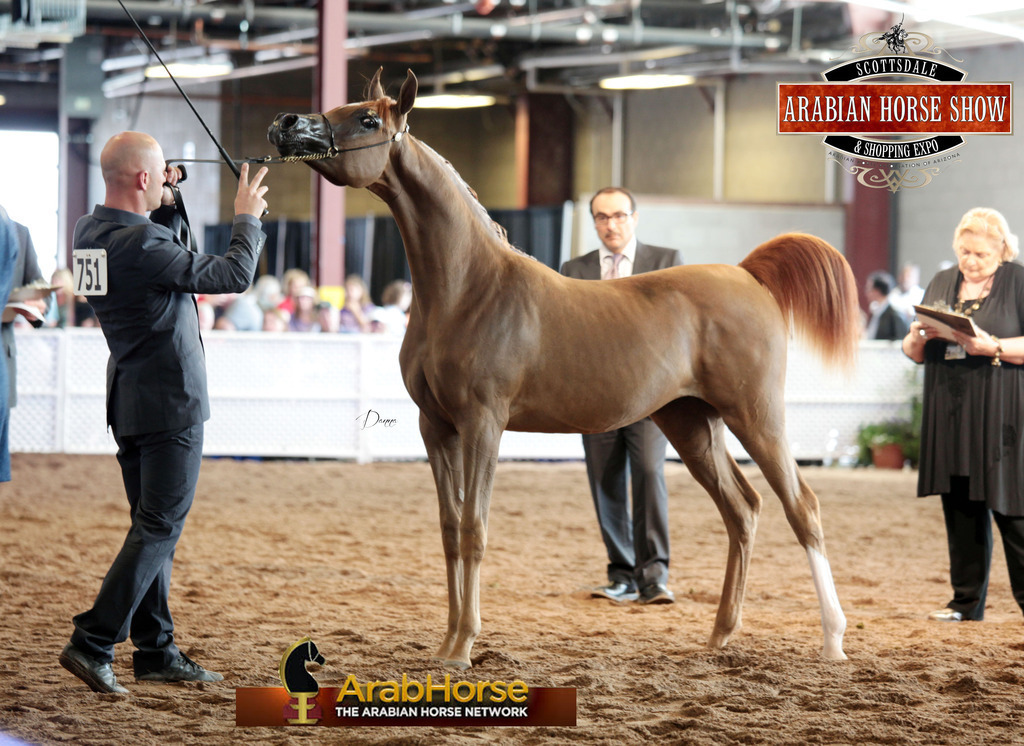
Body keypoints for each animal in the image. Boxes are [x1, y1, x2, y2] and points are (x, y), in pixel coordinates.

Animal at [267, 69, 860, 669]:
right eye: (340, 106)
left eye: (368, 119)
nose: (286, 123)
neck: (468, 289)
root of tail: (748, 274)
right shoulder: (435, 428)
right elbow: (449, 528)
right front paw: (448, 641)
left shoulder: (483, 425)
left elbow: (474, 528)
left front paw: (464, 644)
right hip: (692, 424)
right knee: (743, 510)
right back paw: (721, 634)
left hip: (756, 416)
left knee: (802, 508)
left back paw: (833, 639)